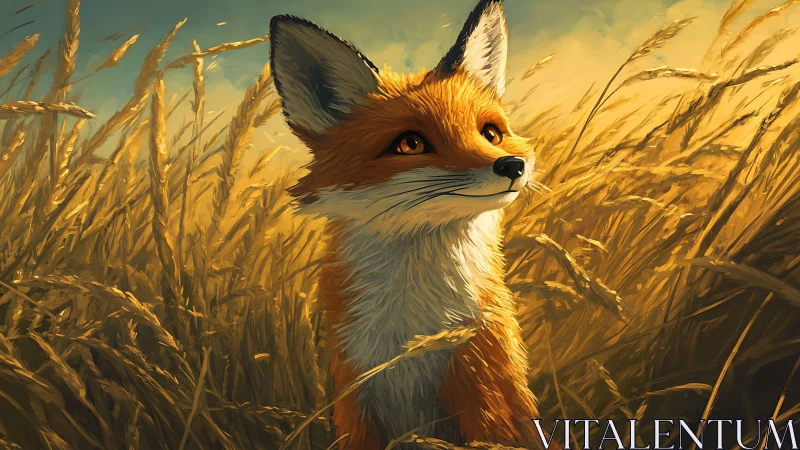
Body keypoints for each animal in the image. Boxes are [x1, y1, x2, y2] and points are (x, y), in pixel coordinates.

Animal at [269, 0, 549, 448]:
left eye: (490, 133)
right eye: (411, 144)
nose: (512, 166)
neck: (410, 334)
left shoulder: (483, 382)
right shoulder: (355, 391)